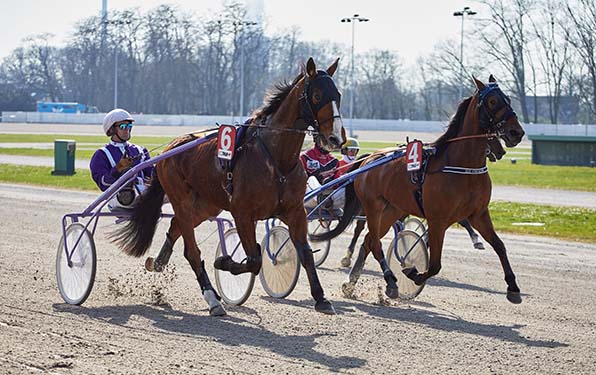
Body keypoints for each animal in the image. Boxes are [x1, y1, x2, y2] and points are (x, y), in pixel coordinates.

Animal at [110, 58, 346, 318]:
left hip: (206, 206)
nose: (335, 138)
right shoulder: (243, 213)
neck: (277, 160)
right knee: (192, 251)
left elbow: (304, 254)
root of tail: (170, 148)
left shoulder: (295, 211)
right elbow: (254, 259)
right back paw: (213, 299)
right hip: (182, 200)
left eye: (338, 95)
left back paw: (159, 262)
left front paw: (321, 298)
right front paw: (223, 262)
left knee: (175, 228)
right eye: (316, 95)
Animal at [314, 75, 524, 306]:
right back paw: (390, 281)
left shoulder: (478, 214)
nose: (517, 132)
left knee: (369, 240)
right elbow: (434, 265)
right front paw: (412, 272)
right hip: (373, 206)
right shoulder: (437, 220)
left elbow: (500, 246)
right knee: (375, 242)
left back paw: (352, 284)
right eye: (493, 101)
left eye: (508, 99)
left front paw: (513, 287)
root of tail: (369, 159)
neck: (461, 165)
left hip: (393, 210)